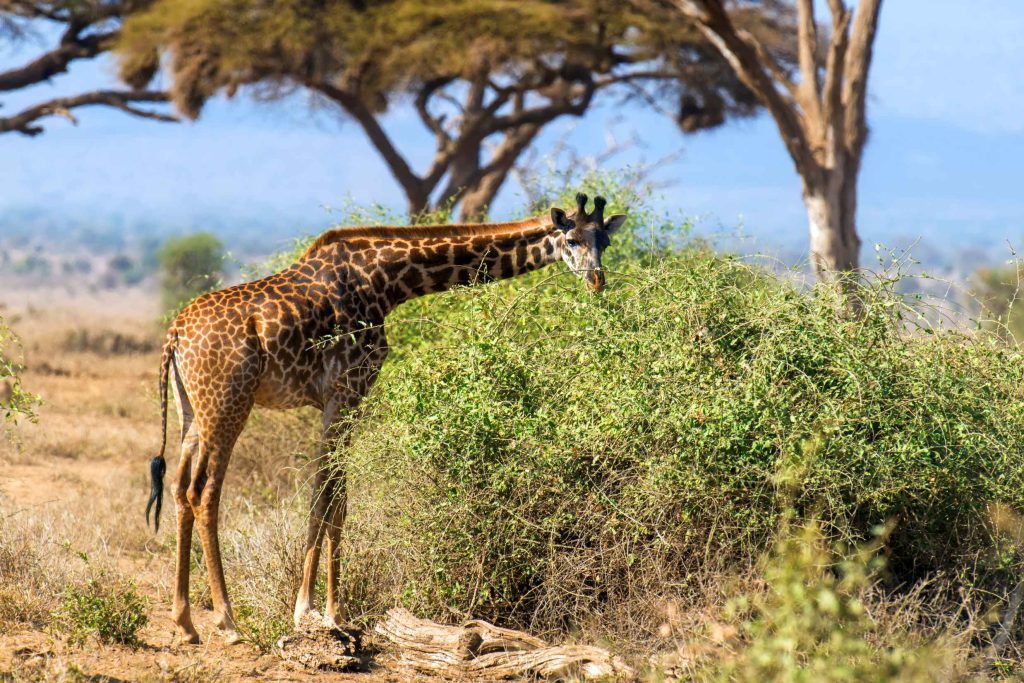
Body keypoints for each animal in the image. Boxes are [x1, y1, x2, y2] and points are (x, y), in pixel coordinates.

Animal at [146, 193, 627, 644]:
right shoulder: (346, 393)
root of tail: (175, 334)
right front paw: (313, 612)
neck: (387, 281)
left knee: (180, 488)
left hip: (193, 411)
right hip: (228, 404)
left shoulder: (342, 400)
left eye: (604, 241)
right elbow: (325, 498)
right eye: (571, 239)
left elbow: (337, 500)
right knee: (205, 493)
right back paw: (227, 621)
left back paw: (185, 622)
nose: (596, 281)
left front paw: (329, 610)